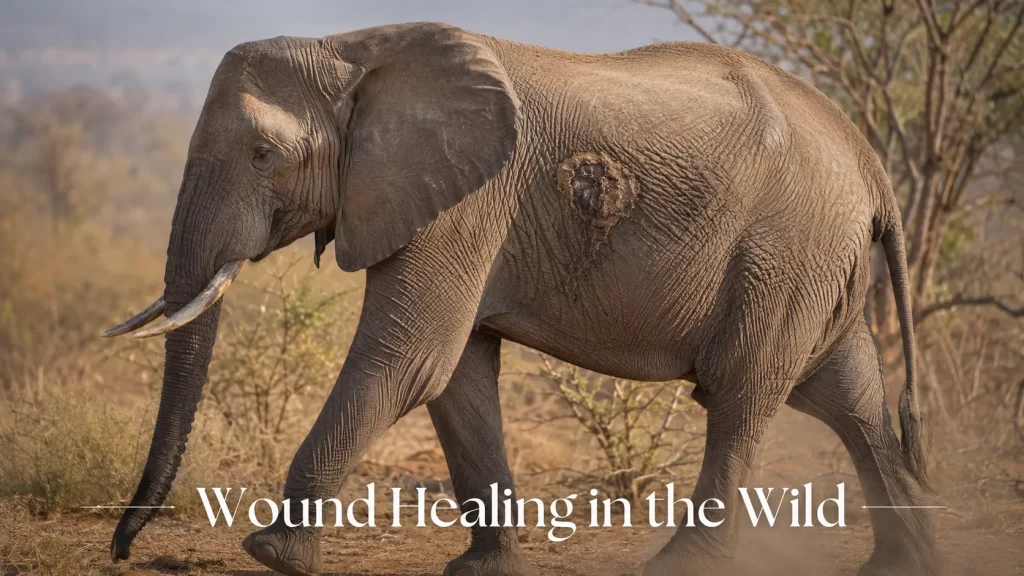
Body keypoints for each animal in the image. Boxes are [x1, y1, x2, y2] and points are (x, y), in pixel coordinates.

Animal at [102, 22, 936, 576]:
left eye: (263, 154)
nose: (120, 549)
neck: (352, 48)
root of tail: (868, 160)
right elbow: (457, 378)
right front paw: (481, 570)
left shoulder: (468, 200)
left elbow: (407, 360)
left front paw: (272, 553)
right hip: (818, 260)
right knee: (850, 399)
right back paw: (905, 564)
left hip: (786, 251)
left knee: (742, 392)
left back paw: (681, 565)